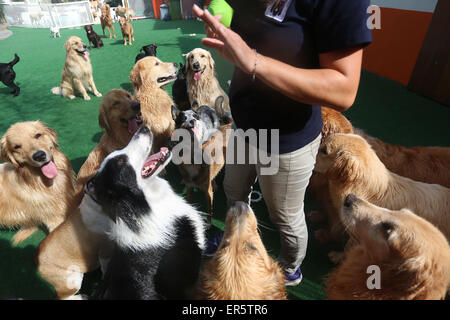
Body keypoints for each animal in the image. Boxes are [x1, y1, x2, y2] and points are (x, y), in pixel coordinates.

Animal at [36, 89, 142, 300]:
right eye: (115, 103)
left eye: (128, 96)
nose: (137, 105)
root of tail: (38, 262)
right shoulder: (106, 252)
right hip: (73, 279)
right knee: (63, 297)